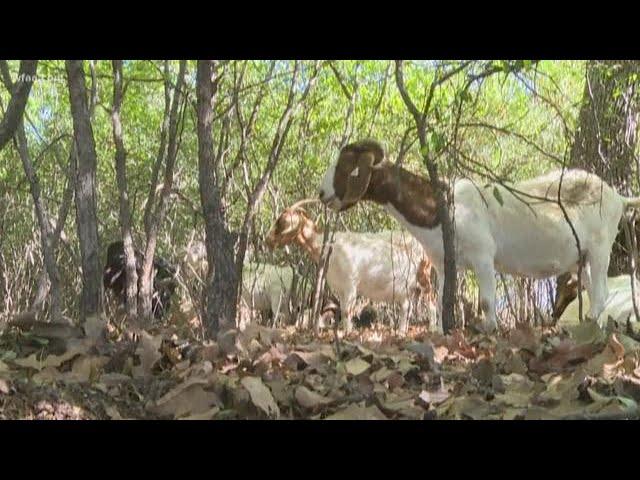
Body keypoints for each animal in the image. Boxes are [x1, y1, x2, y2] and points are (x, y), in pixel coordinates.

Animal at [264, 201, 436, 336]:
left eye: (284, 221)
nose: (268, 240)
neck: (330, 247)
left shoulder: (350, 284)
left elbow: (347, 310)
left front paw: (347, 333)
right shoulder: (340, 288)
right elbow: (343, 309)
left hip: (423, 275)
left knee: (431, 301)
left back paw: (434, 329)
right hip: (406, 288)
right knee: (407, 307)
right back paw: (401, 331)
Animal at [320, 141, 640, 332]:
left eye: (346, 168)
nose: (322, 194)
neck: (444, 206)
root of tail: (617, 197)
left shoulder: (483, 256)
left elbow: (486, 301)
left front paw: (490, 331)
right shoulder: (444, 264)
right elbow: (442, 299)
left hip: (600, 248)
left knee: (602, 293)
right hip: (582, 258)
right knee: (594, 291)